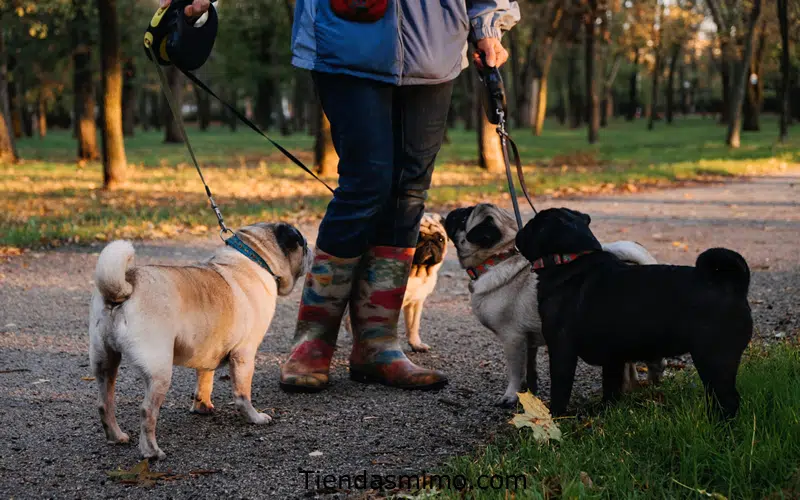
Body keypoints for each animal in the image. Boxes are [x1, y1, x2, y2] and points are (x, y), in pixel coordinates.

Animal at [88, 224, 310, 460]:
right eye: (303, 244)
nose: (310, 248)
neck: (254, 255)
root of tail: (125, 287)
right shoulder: (244, 354)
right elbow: (242, 394)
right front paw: (254, 417)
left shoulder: (208, 350)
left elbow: (205, 380)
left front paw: (202, 406)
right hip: (159, 371)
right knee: (147, 411)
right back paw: (152, 452)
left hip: (104, 360)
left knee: (105, 402)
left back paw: (116, 436)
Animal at [340, 214, 446, 352]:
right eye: (418, 238)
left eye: (440, 239)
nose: (430, 242)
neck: (416, 272)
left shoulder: (416, 302)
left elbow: (413, 325)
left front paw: (415, 344)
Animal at [446, 205, 664, 408]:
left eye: (464, 218)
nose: (454, 211)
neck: (497, 260)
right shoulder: (529, 342)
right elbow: (531, 371)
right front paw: (530, 394)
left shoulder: (512, 339)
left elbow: (515, 372)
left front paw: (511, 396)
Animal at [516, 207, 752, 418]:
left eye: (531, 226)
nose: (520, 232)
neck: (571, 259)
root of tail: (733, 285)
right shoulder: (612, 357)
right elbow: (611, 388)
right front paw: (606, 412)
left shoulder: (562, 350)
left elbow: (560, 389)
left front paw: (553, 417)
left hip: (713, 358)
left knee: (727, 399)